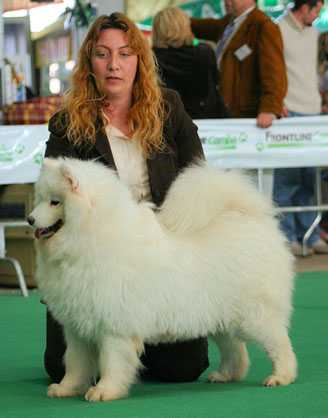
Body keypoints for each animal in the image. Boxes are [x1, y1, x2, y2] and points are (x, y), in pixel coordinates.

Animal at [28, 157, 298, 402]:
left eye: (55, 202)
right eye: (40, 198)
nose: (30, 219)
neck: (90, 235)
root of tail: (249, 219)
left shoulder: (114, 326)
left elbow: (111, 362)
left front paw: (106, 391)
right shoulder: (78, 328)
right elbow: (76, 363)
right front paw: (66, 389)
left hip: (254, 316)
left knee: (279, 343)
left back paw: (282, 376)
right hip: (220, 318)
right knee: (236, 350)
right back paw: (225, 375)